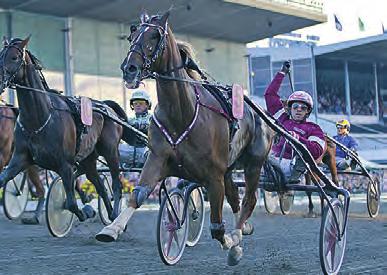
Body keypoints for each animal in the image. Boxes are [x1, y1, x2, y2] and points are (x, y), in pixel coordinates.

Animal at [0, 37, 135, 224]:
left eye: (14, 57)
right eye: (0, 55)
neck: (40, 118)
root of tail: (106, 106)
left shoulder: (65, 164)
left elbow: (71, 202)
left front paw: (84, 212)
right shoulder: (20, 158)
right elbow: (3, 178)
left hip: (110, 152)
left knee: (116, 183)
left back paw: (114, 216)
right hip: (88, 159)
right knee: (100, 185)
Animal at [96, 11, 274, 266]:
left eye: (154, 35)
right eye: (132, 35)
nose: (129, 68)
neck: (182, 113)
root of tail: (259, 110)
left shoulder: (213, 176)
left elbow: (217, 227)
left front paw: (231, 243)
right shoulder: (158, 158)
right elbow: (139, 193)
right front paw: (111, 228)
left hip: (253, 164)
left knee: (248, 199)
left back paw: (238, 234)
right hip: (229, 168)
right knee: (235, 197)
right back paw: (243, 228)